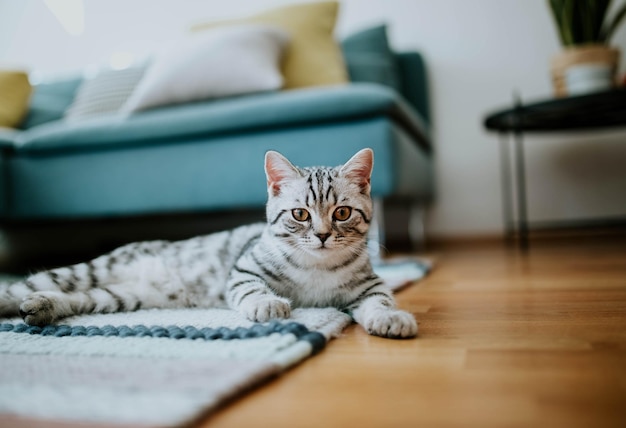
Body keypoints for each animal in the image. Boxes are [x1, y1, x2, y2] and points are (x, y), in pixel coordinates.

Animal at [1, 149, 420, 340]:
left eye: (342, 213)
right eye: (300, 214)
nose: (320, 235)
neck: (315, 269)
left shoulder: (369, 285)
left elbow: (380, 300)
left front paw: (389, 318)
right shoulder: (245, 268)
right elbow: (252, 288)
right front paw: (267, 304)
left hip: (120, 296)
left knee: (76, 298)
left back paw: (39, 309)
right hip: (90, 270)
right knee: (22, 286)